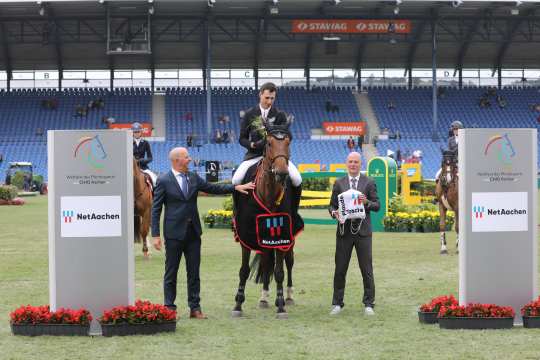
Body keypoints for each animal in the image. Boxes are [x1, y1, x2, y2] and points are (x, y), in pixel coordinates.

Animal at [231, 125, 302, 320]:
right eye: (269, 143)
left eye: (288, 142)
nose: (282, 173)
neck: (268, 193)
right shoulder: (245, 237)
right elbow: (243, 270)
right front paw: (238, 305)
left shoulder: (282, 238)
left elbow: (279, 272)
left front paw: (281, 307)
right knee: (266, 261)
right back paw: (263, 298)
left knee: (289, 262)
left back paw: (288, 296)